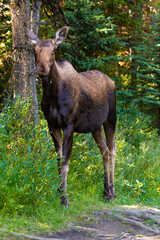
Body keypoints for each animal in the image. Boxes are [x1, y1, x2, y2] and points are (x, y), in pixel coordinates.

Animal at [28, 25, 116, 206]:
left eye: (54, 50)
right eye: (35, 49)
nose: (42, 69)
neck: (53, 95)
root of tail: (112, 81)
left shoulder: (69, 125)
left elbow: (65, 163)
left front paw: (64, 199)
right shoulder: (52, 125)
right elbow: (58, 160)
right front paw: (58, 192)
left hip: (111, 118)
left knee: (112, 151)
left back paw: (112, 192)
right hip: (95, 127)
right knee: (104, 151)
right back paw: (105, 191)